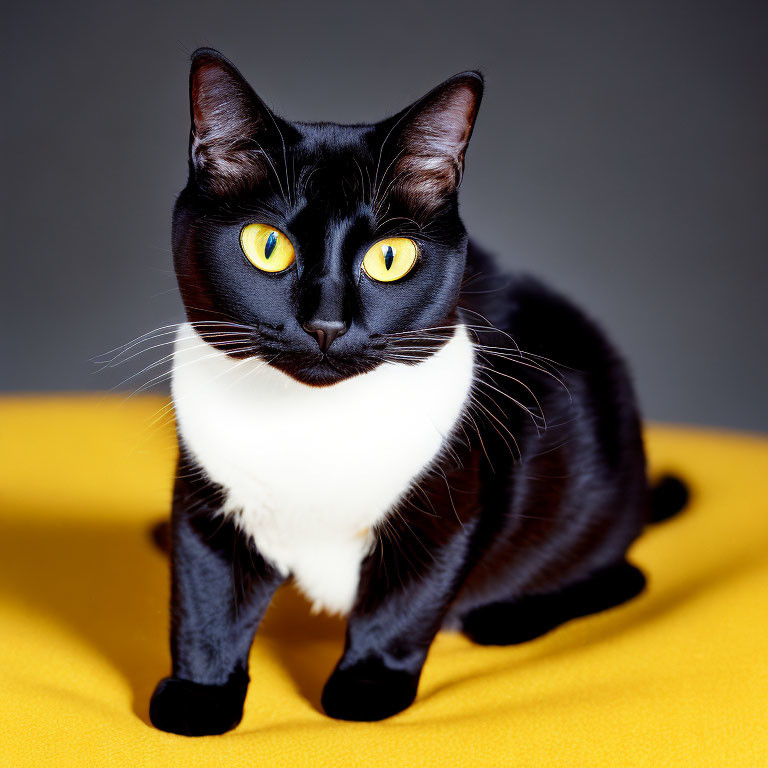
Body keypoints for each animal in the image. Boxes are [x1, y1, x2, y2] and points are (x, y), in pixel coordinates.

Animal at [147, 49, 688, 736]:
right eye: (267, 247)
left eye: (390, 257)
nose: (326, 323)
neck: (312, 425)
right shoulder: (207, 501)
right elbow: (204, 599)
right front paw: (198, 698)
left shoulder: (449, 506)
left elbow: (402, 604)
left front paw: (365, 688)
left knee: (625, 575)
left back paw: (502, 617)